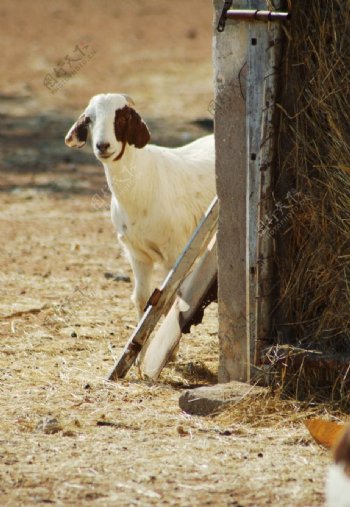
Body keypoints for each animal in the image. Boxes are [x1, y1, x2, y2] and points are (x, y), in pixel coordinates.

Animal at [64, 94, 215, 318]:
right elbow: (142, 298)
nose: (102, 146)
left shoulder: (176, 252)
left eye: (123, 118)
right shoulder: (137, 254)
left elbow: (170, 300)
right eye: (89, 119)